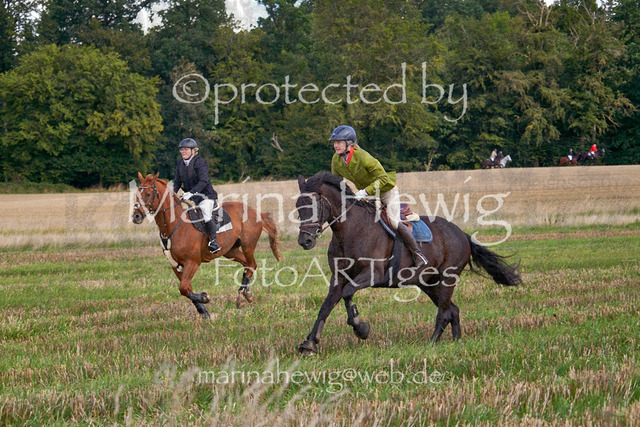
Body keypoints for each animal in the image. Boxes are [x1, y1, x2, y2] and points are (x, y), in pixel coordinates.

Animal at [131, 172, 282, 318]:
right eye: (137, 194)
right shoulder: (176, 266)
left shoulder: (192, 262)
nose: (136, 217)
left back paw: (243, 295)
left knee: (251, 264)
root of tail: (256, 212)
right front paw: (203, 310)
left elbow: (184, 288)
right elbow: (186, 289)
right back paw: (244, 295)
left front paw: (204, 298)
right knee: (246, 264)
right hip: (230, 251)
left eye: (148, 194)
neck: (174, 225)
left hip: (248, 246)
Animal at [295, 172, 521, 355]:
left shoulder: (373, 274)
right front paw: (310, 343)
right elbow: (326, 306)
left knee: (443, 312)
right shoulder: (338, 277)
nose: (304, 241)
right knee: (453, 310)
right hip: (429, 283)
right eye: (298, 207)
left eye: (314, 206)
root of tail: (463, 234)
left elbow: (348, 293)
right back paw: (456, 341)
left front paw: (360, 328)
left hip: (447, 278)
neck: (350, 231)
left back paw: (431, 343)